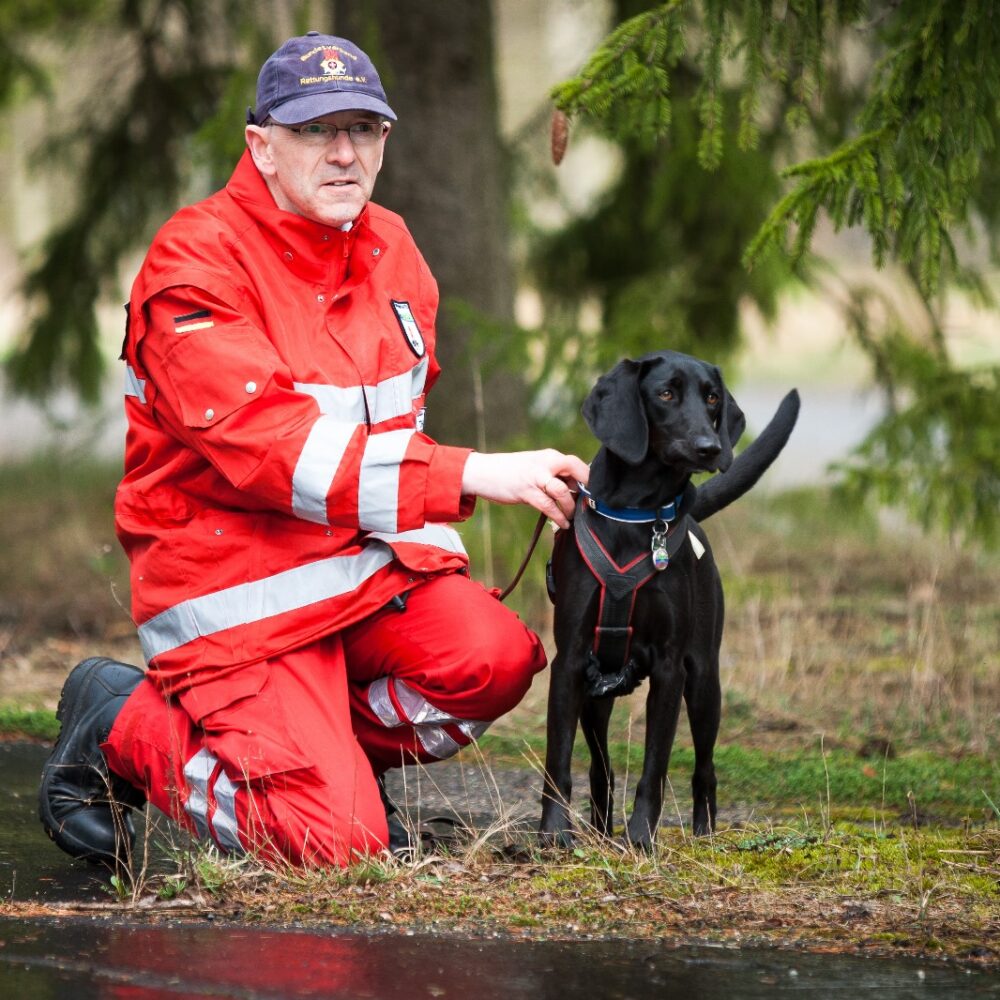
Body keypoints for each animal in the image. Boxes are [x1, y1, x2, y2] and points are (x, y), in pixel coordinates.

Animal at [540, 348, 796, 848]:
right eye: (664, 393)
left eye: (712, 397)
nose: (709, 447)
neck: (638, 514)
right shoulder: (569, 662)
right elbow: (559, 759)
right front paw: (554, 833)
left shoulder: (670, 667)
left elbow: (655, 766)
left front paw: (641, 837)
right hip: (596, 695)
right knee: (601, 767)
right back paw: (601, 829)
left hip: (704, 682)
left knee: (705, 768)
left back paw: (704, 832)